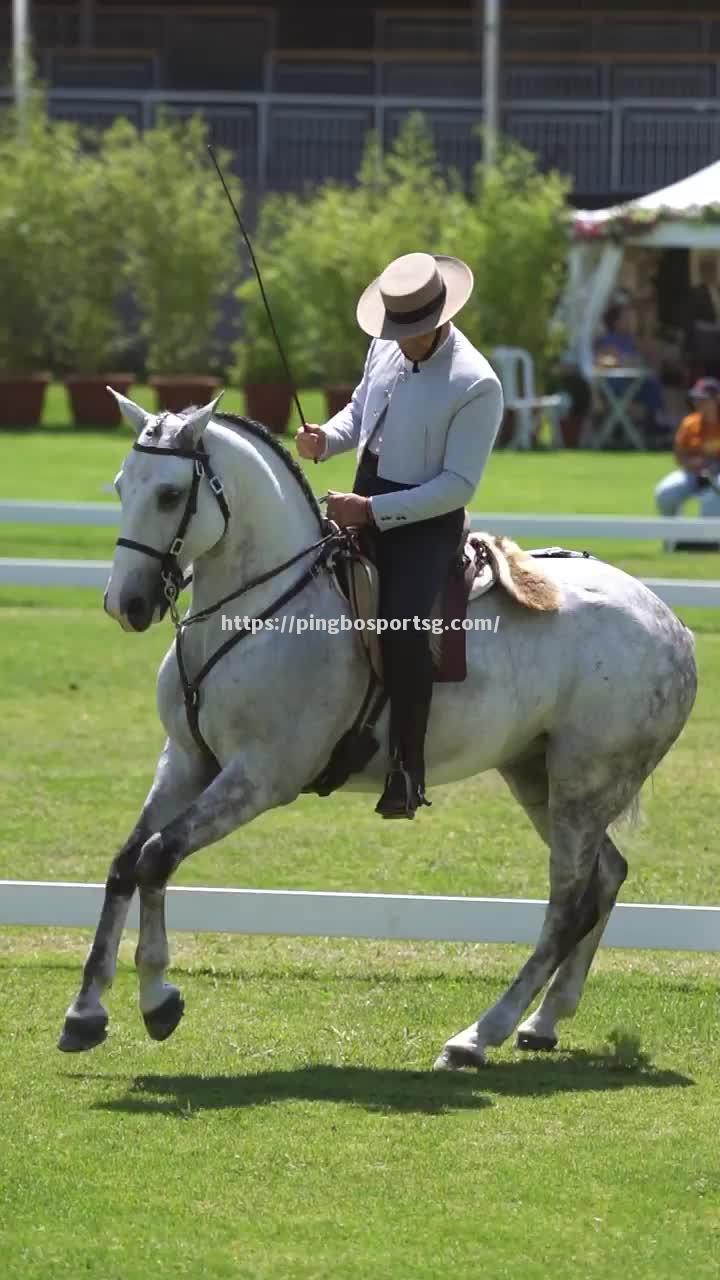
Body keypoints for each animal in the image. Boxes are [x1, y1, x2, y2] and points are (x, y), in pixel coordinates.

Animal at [58, 391, 691, 1070]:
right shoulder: (184, 760)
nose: (125, 604)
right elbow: (126, 863)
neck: (260, 609)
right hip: (537, 776)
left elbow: (158, 856)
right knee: (604, 879)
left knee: (568, 903)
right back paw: (544, 1021)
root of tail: (669, 622)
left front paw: (158, 999)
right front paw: (85, 1012)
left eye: (171, 494)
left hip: (583, 785)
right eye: (122, 485)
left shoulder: (259, 778)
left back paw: (478, 1035)